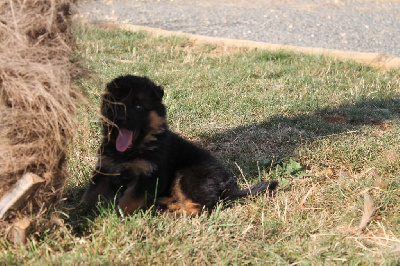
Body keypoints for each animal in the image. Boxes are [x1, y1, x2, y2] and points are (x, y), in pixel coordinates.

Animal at [81, 75, 278, 216]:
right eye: (115, 104)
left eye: (138, 106)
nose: (120, 119)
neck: (132, 150)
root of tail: (226, 185)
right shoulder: (105, 169)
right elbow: (91, 194)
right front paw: (81, 212)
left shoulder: (148, 176)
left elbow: (128, 201)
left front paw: (116, 216)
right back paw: (162, 205)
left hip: (187, 175)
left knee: (201, 207)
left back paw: (172, 214)